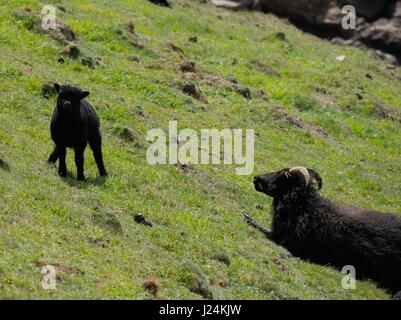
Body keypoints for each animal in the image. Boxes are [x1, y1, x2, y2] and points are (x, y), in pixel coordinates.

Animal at [244, 168, 400, 296]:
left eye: (283, 175)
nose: (256, 178)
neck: (305, 208)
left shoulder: (286, 241)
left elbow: (264, 230)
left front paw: (248, 218)